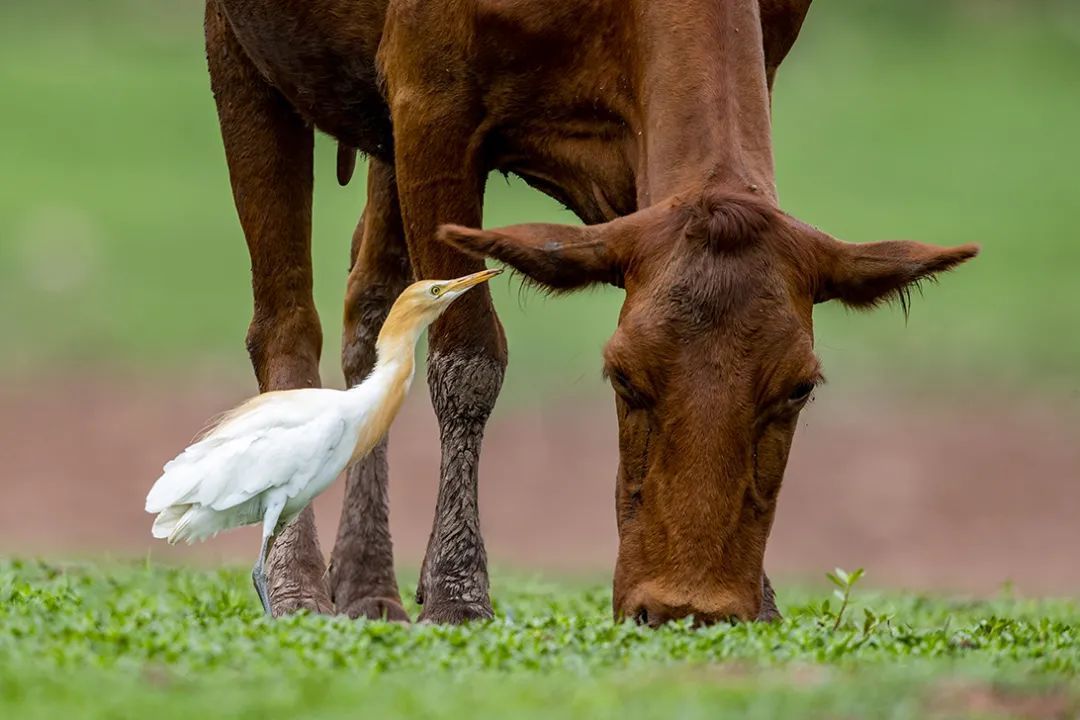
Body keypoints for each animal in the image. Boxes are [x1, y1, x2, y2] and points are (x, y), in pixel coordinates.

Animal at [204, 0, 980, 626]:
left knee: (371, 297)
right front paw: (458, 593)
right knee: (285, 319)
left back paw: (368, 586)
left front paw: (762, 598)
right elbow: (468, 354)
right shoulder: (429, 92)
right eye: (622, 377)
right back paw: (297, 584)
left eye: (799, 389)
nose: (686, 608)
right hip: (243, 49)